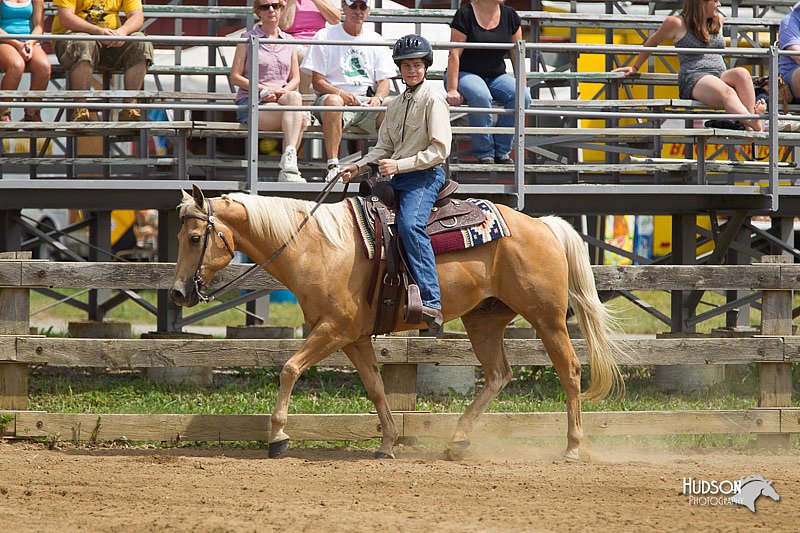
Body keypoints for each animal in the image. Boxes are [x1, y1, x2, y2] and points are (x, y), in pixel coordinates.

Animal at [169, 185, 620, 460]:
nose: (176, 293)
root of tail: (543, 225)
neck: (317, 246)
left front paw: (277, 437)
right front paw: (387, 441)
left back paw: (572, 448)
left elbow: (290, 368)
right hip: (484, 321)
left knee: (570, 371)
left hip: (547, 319)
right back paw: (457, 440)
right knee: (497, 374)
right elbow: (375, 386)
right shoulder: (353, 337)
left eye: (194, 238)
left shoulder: (332, 330)